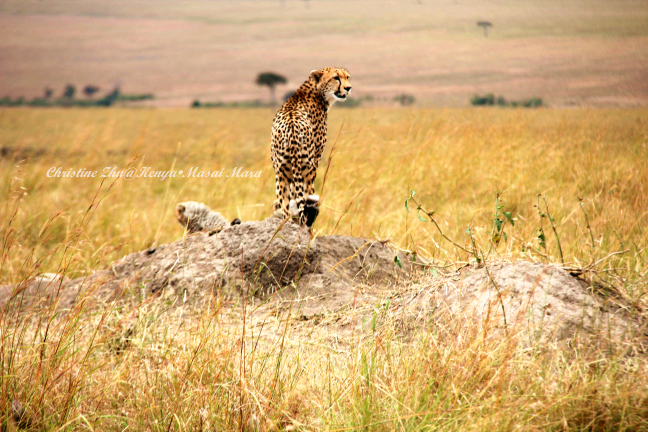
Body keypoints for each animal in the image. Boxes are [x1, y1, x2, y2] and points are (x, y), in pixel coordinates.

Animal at [270, 66, 350, 226]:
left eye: (347, 77)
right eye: (336, 78)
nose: (348, 88)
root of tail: (292, 130)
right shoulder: (315, 161)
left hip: (281, 173)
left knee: (285, 206)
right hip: (307, 169)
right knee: (306, 196)